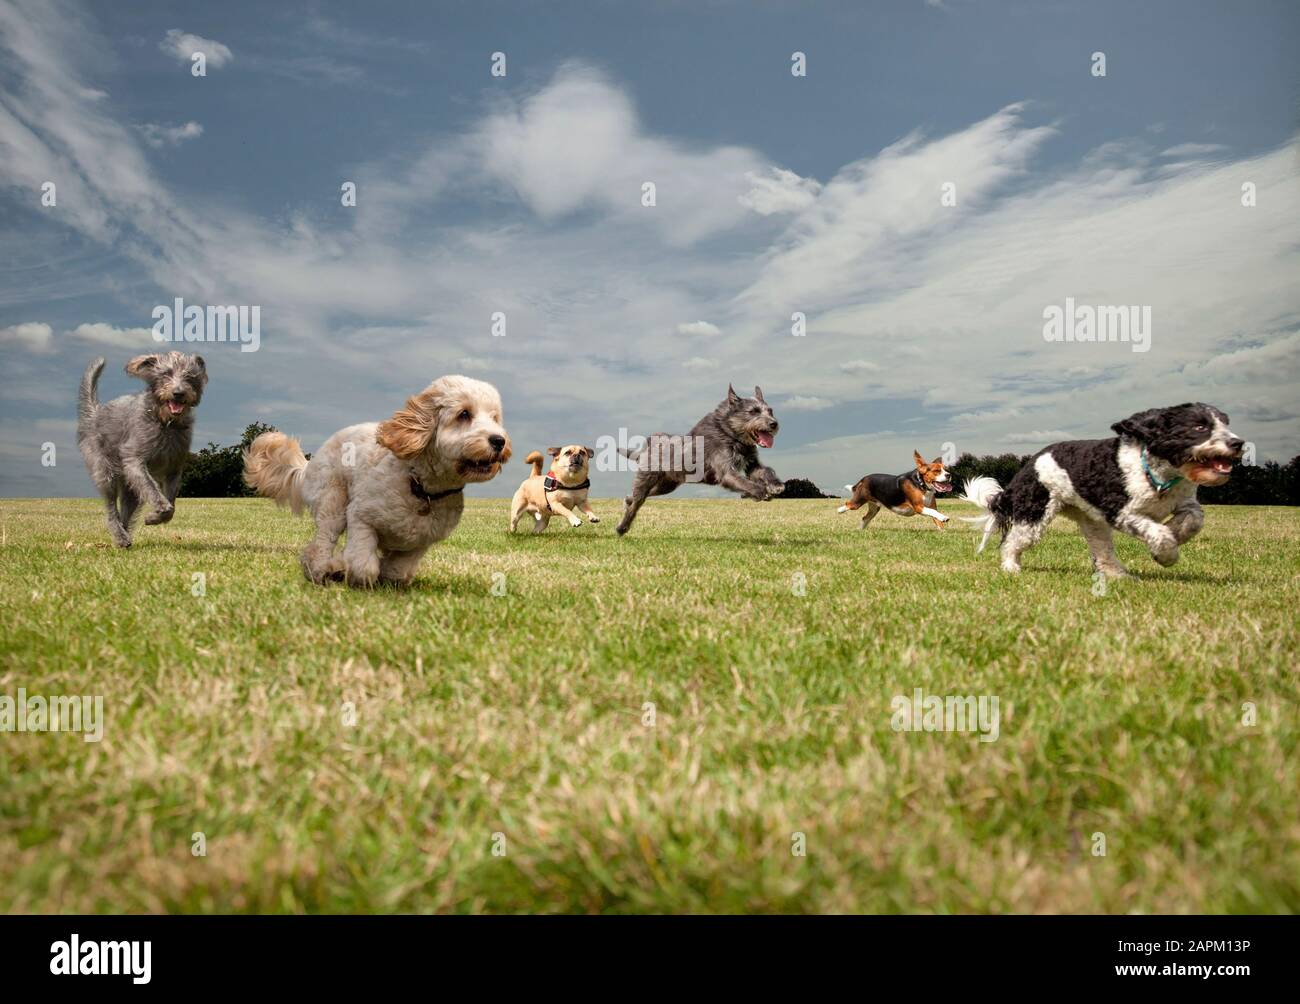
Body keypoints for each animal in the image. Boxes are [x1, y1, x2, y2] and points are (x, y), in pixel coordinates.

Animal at [78, 353, 206, 548]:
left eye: (189, 376)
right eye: (166, 374)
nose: (178, 393)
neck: (165, 423)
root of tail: (95, 413)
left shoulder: (174, 469)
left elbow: (172, 502)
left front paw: (155, 518)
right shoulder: (134, 461)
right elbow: (151, 487)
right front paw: (160, 509)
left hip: (130, 489)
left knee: (125, 512)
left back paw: (124, 537)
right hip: (106, 473)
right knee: (111, 510)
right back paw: (120, 536)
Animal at [245, 371, 509, 585]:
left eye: (495, 418)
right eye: (464, 414)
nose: (499, 440)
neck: (421, 487)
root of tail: (309, 464)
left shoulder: (422, 541)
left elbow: (398, 568)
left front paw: (389, 577)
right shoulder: (361, 516)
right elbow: (364, 562)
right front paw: (360, 577)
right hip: (333, 503)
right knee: (322, 542)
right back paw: (320, 570)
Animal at [616, 382, 785, 538]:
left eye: (770, 411)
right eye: (753, 411)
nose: (774, 424)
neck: (728, 432)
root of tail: (645, 447)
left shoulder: (752, 463)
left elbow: (763, 471)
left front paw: (776, 485)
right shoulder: (726, 471)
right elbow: (742, 481)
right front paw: (761, 491)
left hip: (666, 485)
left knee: (639, 497)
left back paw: (627, 501)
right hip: (646, 478)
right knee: (638, 501)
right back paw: (622, 527)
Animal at [961, 400, 1242, 572]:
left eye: (1225, 423)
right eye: (1200, 426)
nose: (1238, 443)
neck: (1155, 471)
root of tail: (1026, 467)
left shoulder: (1185, 501)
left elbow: (1194, 519)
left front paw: (1176, 532)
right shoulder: (1120, 511)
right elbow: (1158, 533)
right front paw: (1166, 555)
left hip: (1092, 521)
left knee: (1103, 553)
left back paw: (1118, 574)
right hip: (1035, 512)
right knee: (1011, 542)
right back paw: (1011, 566)